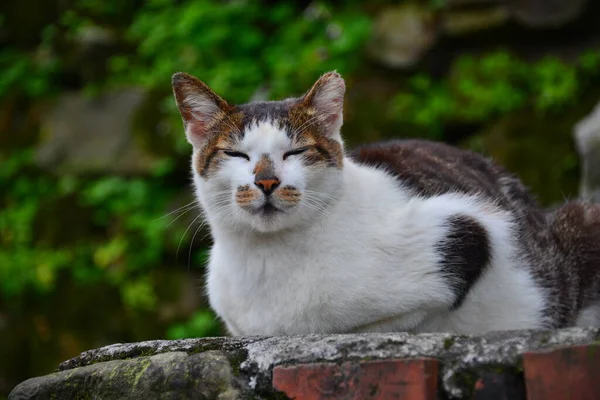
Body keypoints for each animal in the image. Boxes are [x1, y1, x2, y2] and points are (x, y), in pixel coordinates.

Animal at [170, 71, 600, 334]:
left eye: (296, 152)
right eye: (236, 154)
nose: (266, 180)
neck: (266, 259)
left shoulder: (463, 227)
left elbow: (389, 318)